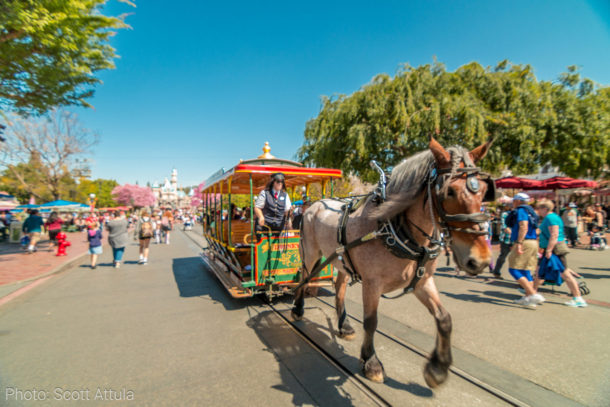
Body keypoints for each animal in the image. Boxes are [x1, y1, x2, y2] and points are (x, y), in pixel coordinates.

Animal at [290, 136, 494, 388]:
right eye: (449, 192)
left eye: (483, 190)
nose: (481, 260)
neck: (394, 226)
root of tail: (314, 204)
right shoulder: (372, 283)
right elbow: (371, 321)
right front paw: (371, 362)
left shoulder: (422, 281)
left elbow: (444, 318)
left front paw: (437, 369)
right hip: (311, 252)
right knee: (305, 276)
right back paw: (298, 308)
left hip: (341, 258)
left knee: (339, 288)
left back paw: (344, 326)